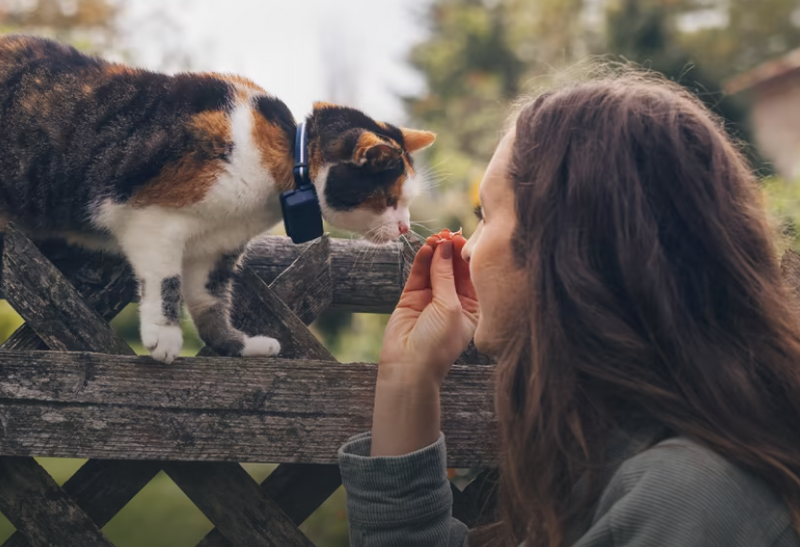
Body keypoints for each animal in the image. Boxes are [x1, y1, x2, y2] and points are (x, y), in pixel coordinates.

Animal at [0, 37, 434, 364]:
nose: (404, 225)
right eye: (390, 197)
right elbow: (166, 280)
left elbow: (209, 297)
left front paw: (237, 345)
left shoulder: (217, 246)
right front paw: (164, 336)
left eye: (405, 201)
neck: (282, 160)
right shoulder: (151, 220)